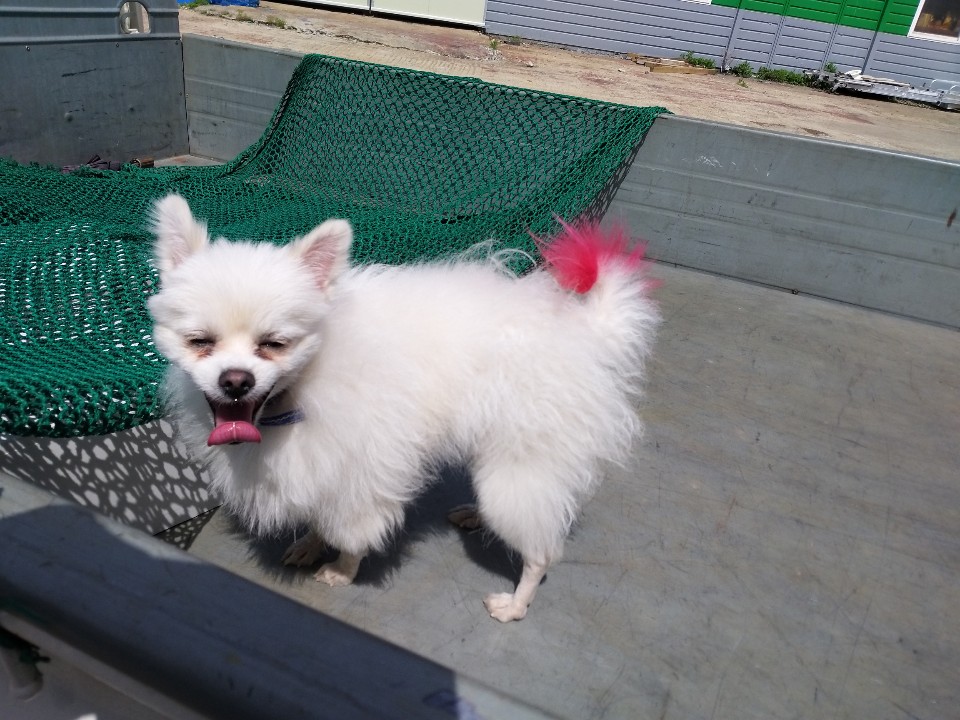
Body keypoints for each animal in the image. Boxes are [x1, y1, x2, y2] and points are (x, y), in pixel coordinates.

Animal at [148, 194, 659, 622]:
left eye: (274, 344)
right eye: (200, 342)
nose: (236, 381)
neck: (303, 387)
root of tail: (586, 330)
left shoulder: (362, 469)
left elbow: (349, 530)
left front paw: (342, 569)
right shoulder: (318, 461)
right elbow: (317, 514)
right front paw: (311, 544)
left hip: (522, 461)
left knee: (541, 549)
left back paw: (516, 603)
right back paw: (475, 516)